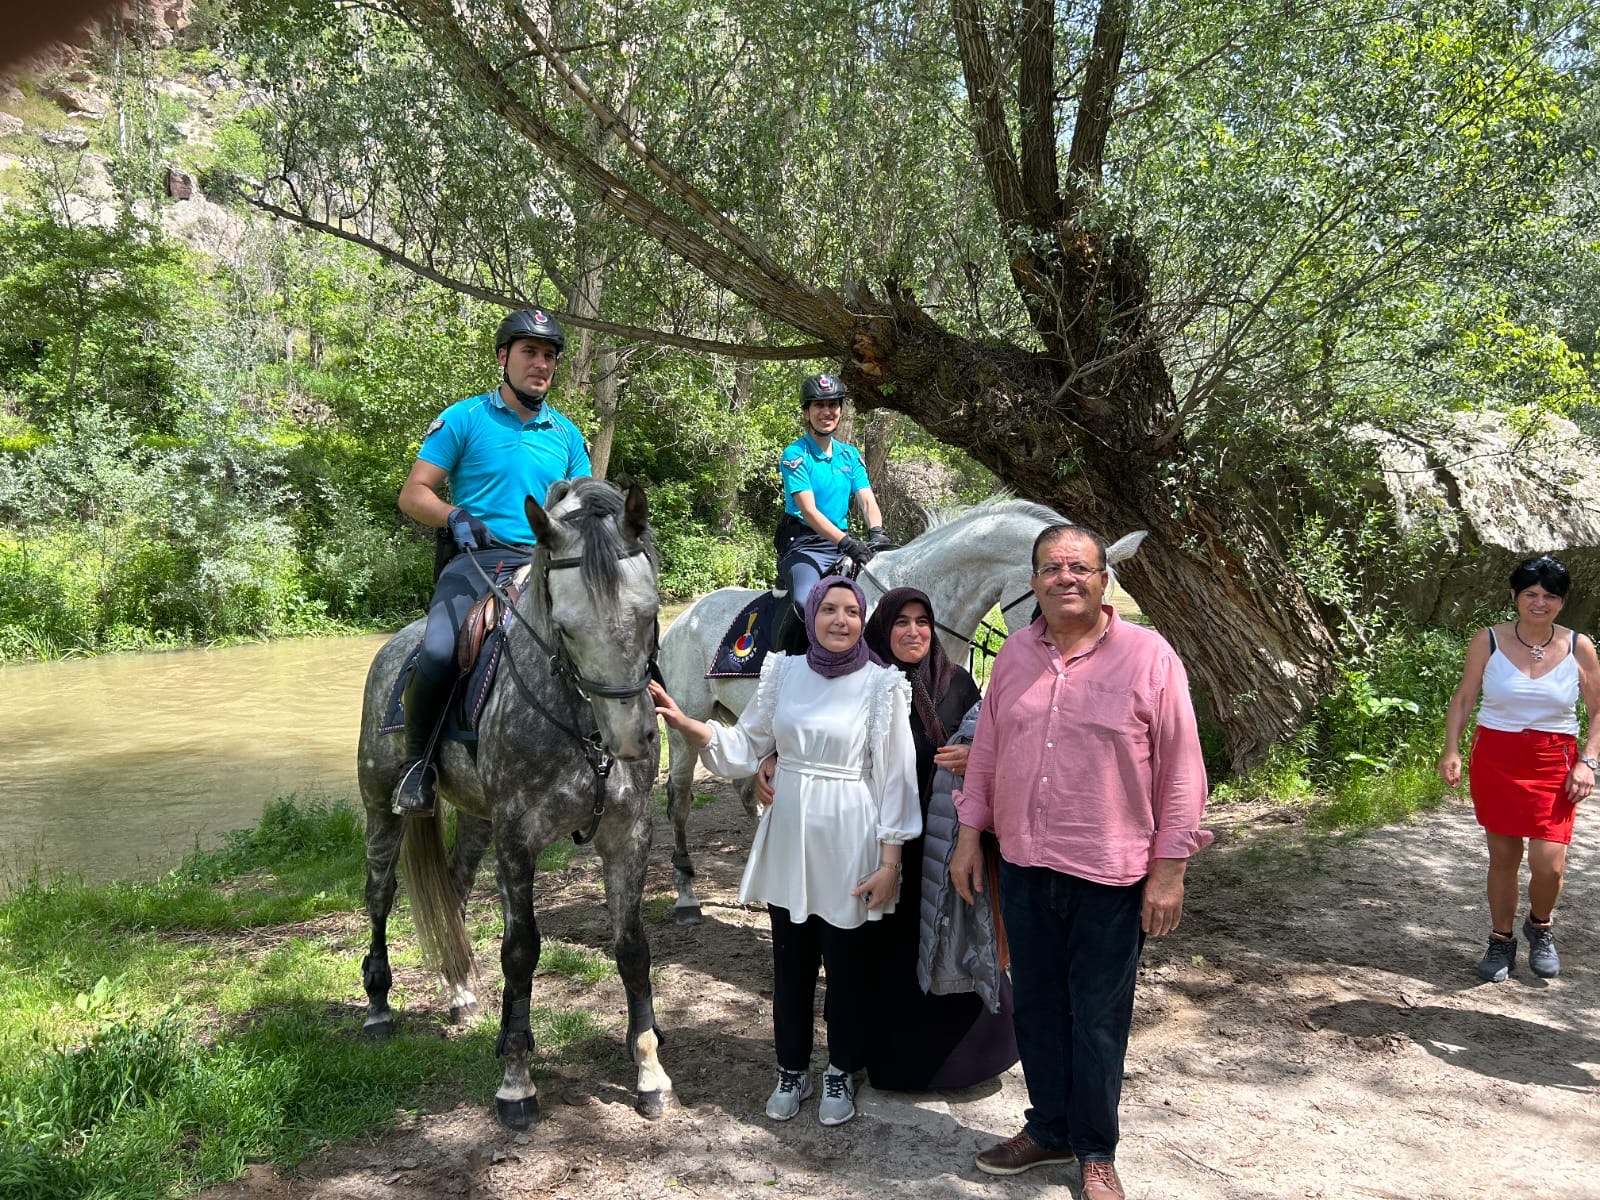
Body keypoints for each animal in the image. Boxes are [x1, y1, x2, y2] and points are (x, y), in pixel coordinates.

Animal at [353, 476, 672, 1126]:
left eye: (649, 614)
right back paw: (378, 1007)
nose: (632, 740)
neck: (582, 723)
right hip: (381, 807)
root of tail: (393, 648)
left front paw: (649, 1072)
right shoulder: (517, 838)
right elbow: (521, 952)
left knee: (453, 890)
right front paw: (517, 1082)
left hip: (476, 821)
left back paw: (461, 993)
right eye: (567, 627)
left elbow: (633, 949)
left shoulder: (628, 833)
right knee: (379, 894)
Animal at [656, 496, 1145, 921]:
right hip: (685, 729)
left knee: (747, 789)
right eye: (1065, 595)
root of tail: (685, 620)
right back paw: (686, 897)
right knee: (679, 799)